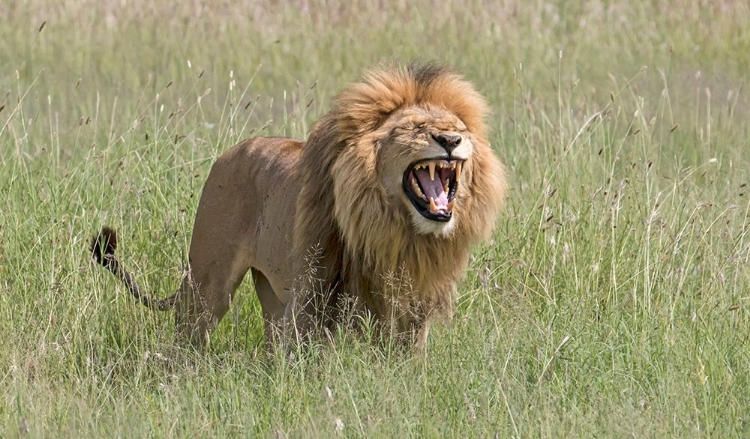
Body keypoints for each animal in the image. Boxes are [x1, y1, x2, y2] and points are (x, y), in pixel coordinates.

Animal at [91, 62, 508, 350]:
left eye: (460, 128)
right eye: (415, 128)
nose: (450, 140)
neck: (396, 231)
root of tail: (228, 153)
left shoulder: (414, 302)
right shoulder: (315, 293)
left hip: (271, 293)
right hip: (208, 282)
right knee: (190, 334)